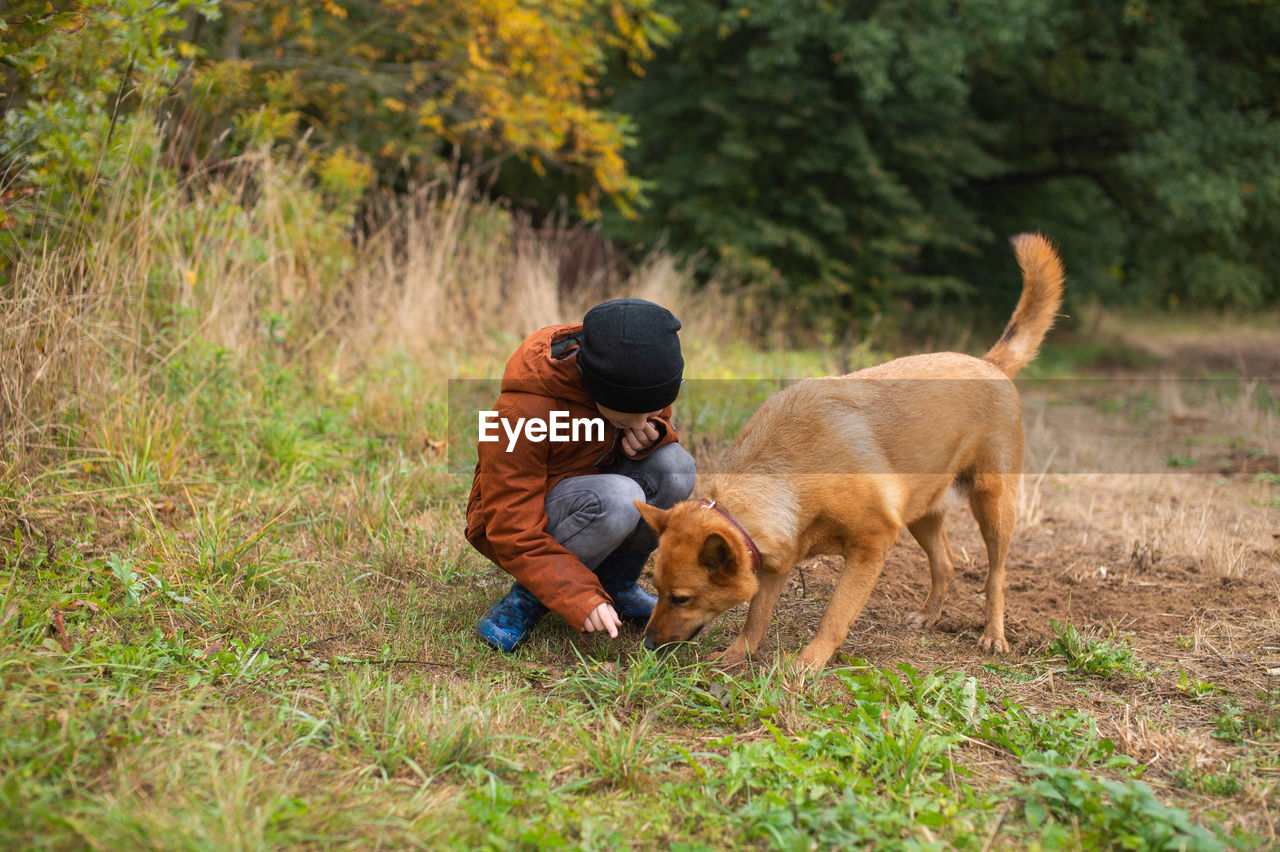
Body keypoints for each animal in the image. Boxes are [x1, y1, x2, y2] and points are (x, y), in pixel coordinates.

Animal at [634, 232, 1064, 675]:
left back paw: (994, 635)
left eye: (681, 598)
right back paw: (930, 614)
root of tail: (989, 362)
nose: (647, 644)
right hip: (922, 513)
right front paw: (735, 658)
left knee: (996, 576)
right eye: (656, 587)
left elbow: (834, 616)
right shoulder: (775, 564)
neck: (788, 474)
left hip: (992, 504)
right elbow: (756, 620)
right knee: (945, 563)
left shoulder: (871, 547)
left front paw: (806, 666)